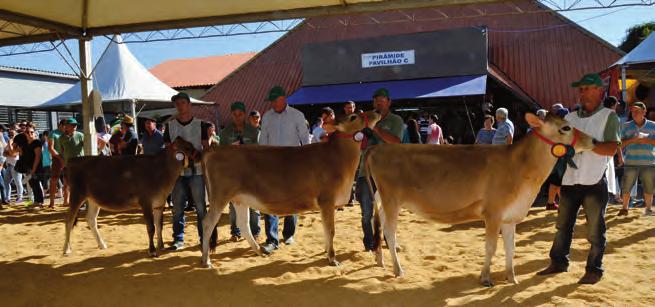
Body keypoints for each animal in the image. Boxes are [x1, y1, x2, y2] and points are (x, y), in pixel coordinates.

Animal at [202, 111, 382, 270]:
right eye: (354, 116)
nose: (377, 112)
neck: (339, 156)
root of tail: (214, 151)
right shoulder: (327, 200)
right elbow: (330, 230)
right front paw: (332, 258)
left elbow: (326, 230)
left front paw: (327, 253)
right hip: (220, 196)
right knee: (208, 223)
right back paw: (206, 261)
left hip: (239, 198)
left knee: (243, 224)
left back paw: (259, 251)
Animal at [366, 113, 596, 288]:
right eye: (566, 127)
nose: (594, 140)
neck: (521, 167)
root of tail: (379, 148)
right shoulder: (493, 213)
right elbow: (491, 247)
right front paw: (485, 278)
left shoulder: (510, 217)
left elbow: (511, 249)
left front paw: (512, 278)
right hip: (391, 199)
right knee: (390, 233)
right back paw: (398, 269)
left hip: (384, 199)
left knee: (380, 223)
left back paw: (380, 260)